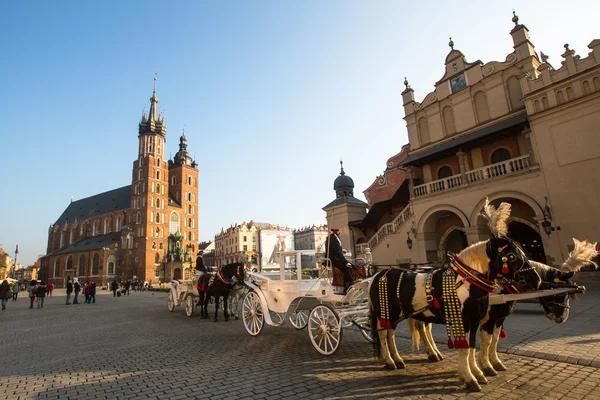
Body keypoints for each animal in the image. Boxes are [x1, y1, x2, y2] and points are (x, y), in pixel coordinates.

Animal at [366, 200, 544, 390]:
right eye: (511, 256)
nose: (537, 280)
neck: (467, 281)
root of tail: (377, 274)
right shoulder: (470, 320)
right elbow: (469, 347)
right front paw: (470, 377)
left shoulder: (480, 320)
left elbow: (477, 345)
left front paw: (479, 372)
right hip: (385, 312)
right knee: (384, 335)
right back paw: (391, 361)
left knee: (396, 333)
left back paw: (403, 359)